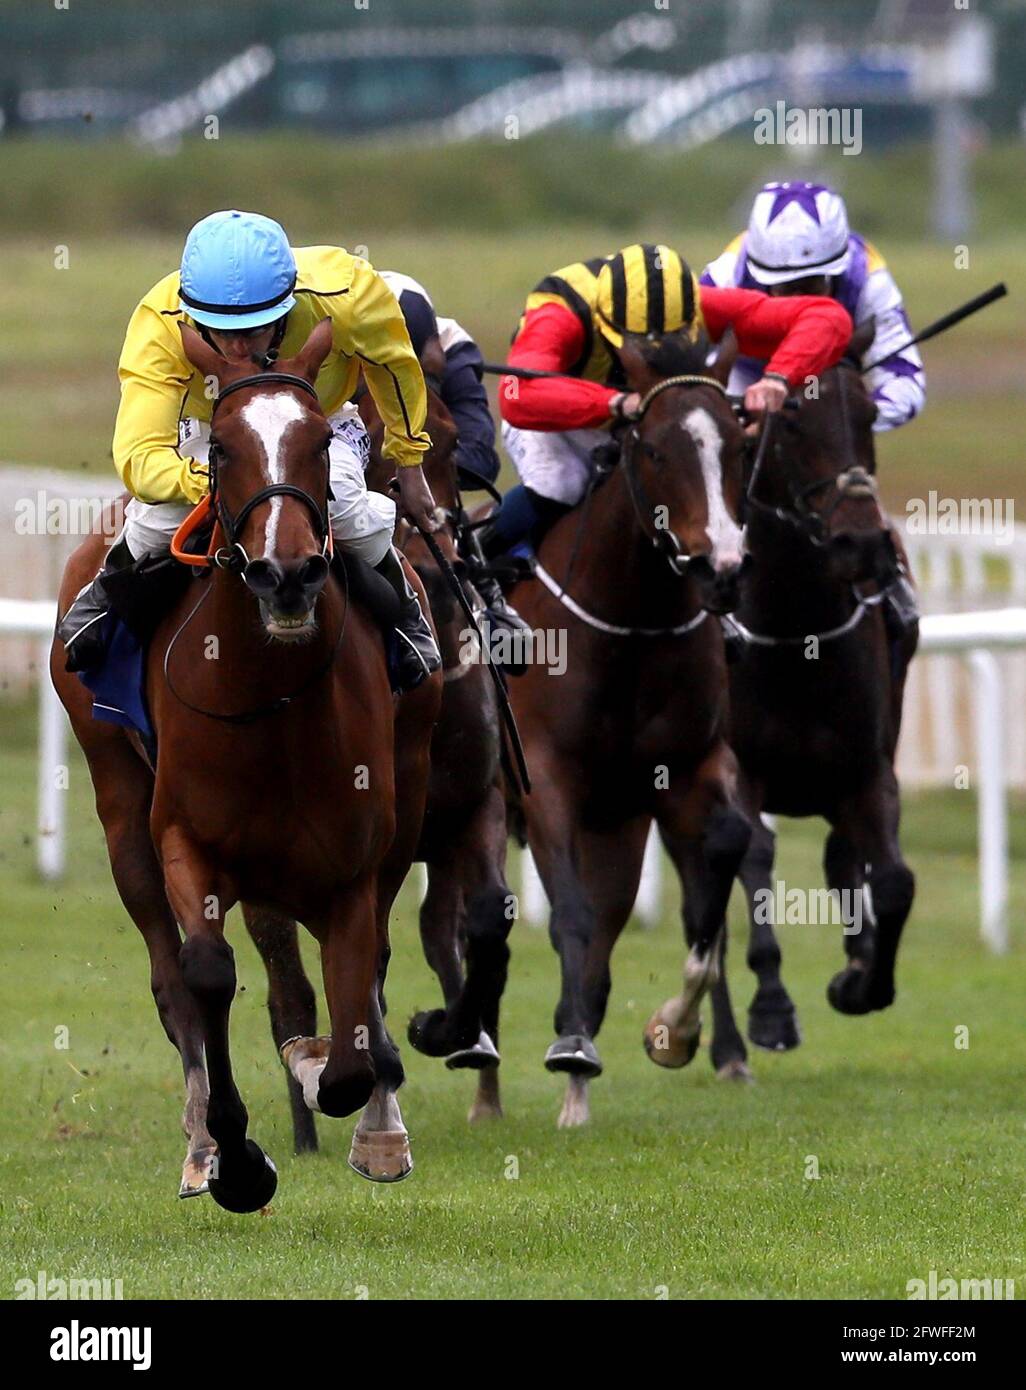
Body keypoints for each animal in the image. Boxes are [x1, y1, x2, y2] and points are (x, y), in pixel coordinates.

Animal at [52, 322, 436, 1206]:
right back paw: (199, 1144)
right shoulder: (185, 838)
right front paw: (234, 1154)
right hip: (117, 801)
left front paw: (349, 1094)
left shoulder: (353, 864)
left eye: (321, 440)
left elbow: (353, 1035)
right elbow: (205, 973)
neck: (272, 704)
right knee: (171, 978)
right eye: (221, 449)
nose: (286, 571)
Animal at [506, 339, 750, 1128]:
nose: (722, 568)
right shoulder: (546, 781)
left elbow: (717, 876)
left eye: (739, 444)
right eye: (653, 448)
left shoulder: (685, 772)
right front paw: (571, 1046)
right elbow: (571, 917)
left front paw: (674, 1030)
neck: (632, 625)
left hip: (617, 824)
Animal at [711, 350, 917, 1061]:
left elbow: (894, 879)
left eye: (870, 412)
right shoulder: (740, 769)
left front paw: (861, 982)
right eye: (792, 423)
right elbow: (752, 858)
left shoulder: (868, 770)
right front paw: (772, 1009)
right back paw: (723, 1045)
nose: (861, 543)